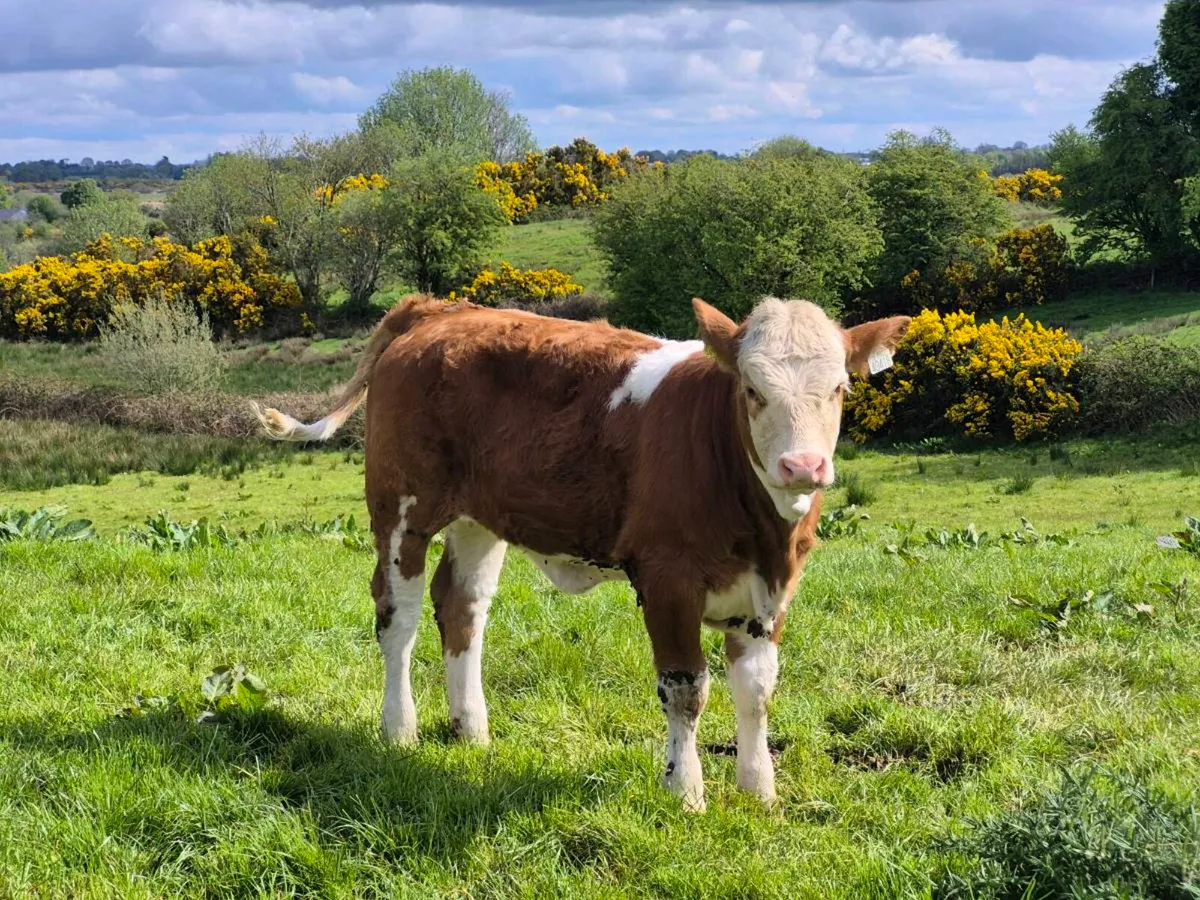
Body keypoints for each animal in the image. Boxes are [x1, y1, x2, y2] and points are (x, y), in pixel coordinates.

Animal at [252, 294, 910, 812]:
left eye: (840, 388)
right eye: (752, 390)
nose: (803, 466)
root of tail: (442, 309)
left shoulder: (769, 590)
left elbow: (756, 688)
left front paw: (759, 790)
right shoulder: (666, 578)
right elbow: (686, 689)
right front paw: (685, 791)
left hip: (478, 518)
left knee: (462, 608)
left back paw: (472, 729)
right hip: (401, 510)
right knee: (399, 617)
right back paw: (400, 729)